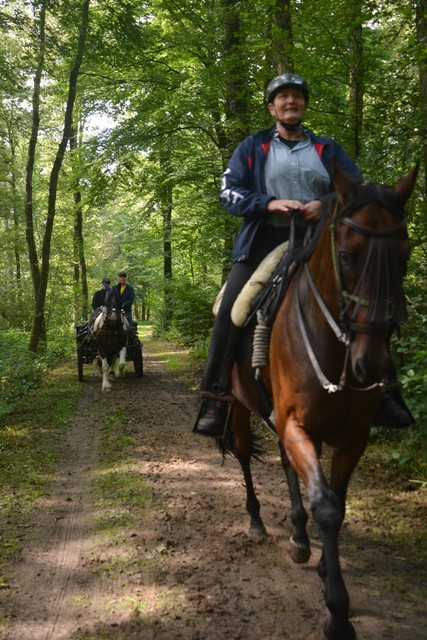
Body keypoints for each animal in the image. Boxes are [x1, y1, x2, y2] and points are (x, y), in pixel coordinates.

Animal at [224, 166, 418, 640]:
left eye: (404, 254)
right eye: (346, 255)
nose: (370, 365)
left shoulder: (352, 438)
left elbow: (338, 502)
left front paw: (325, 568)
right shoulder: (297, 425)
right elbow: (326, 506)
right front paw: (337, 610)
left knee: (285, 466)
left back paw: (298, 535)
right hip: (239, 406)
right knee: (243, 454)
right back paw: (257, 522)